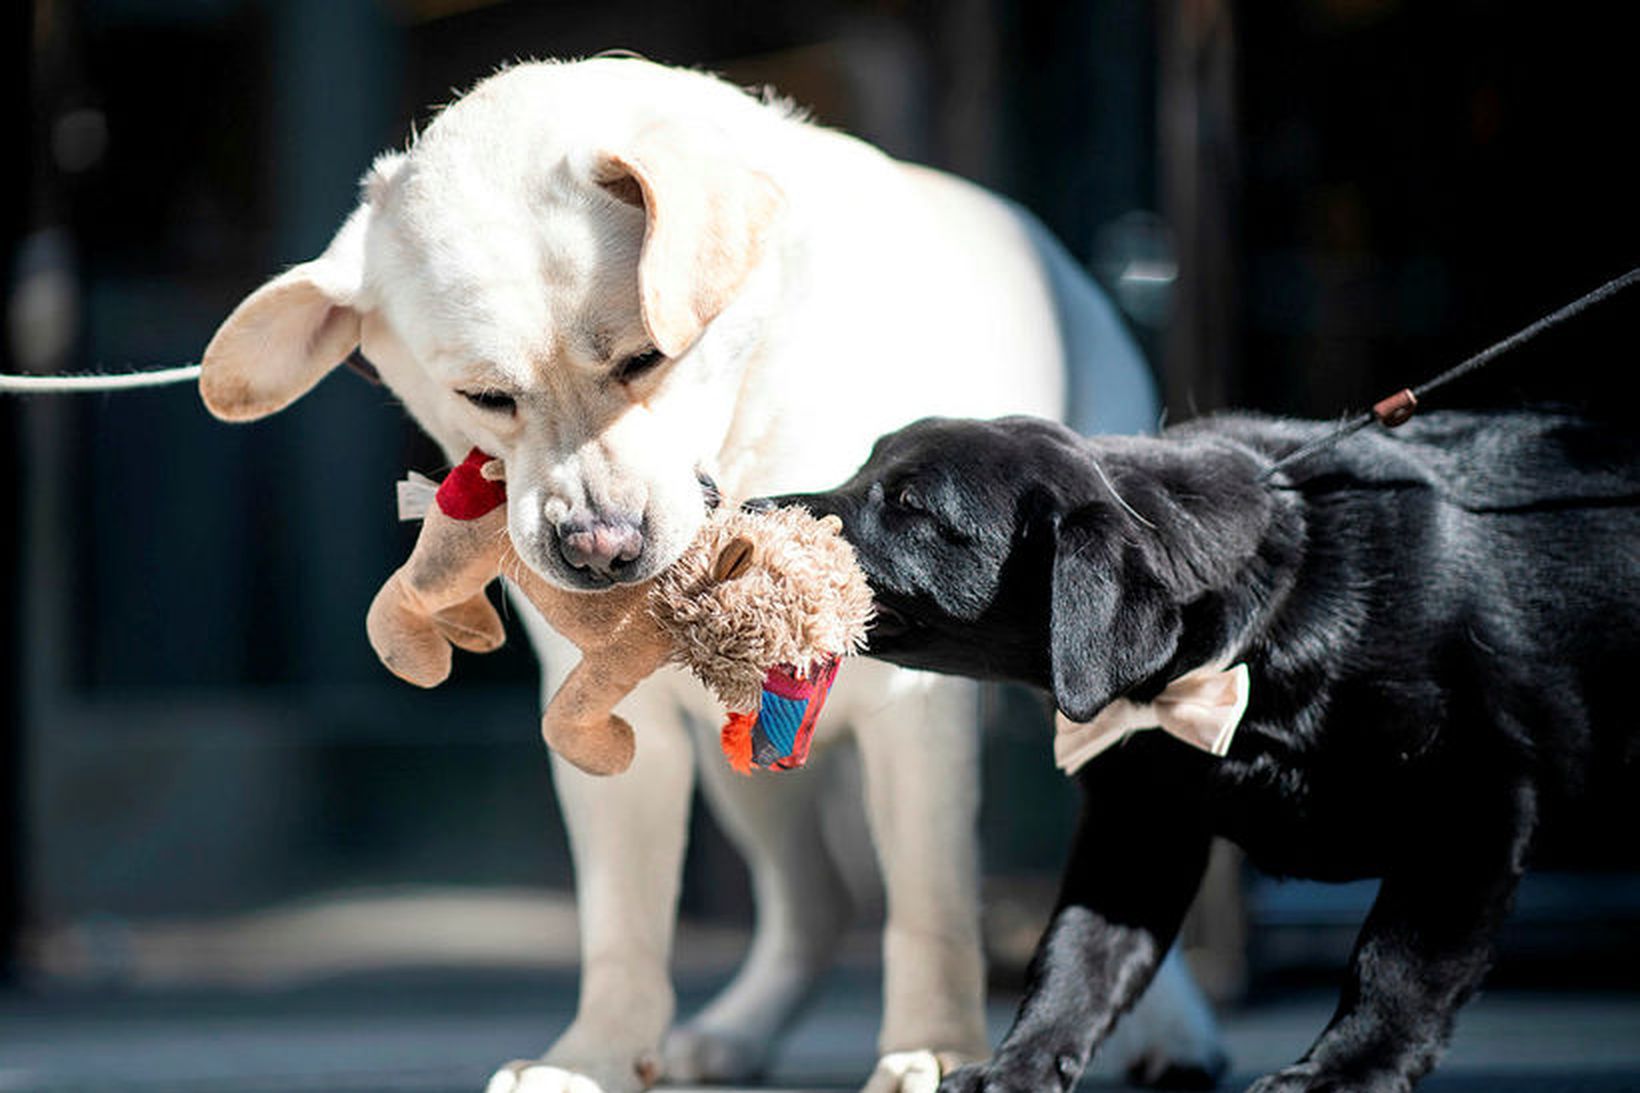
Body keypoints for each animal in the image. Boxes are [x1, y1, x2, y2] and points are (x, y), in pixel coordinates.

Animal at [195, 57, 1220, 1089]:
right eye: (486, 396)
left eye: (647, 358)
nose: (598, 549)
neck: (750, 430)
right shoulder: (617, 722)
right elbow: (622, 922)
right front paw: (597, 1055)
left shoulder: (913, 709)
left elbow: (930, 905)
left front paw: (934, 1045)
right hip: (751, 774)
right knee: (815, 905)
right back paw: (735, 1031)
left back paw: (1176, 1033)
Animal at [780, 410, 1640, 1089]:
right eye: (865, 466)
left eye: (909, 505)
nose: (753, 503)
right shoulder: (1140, 823)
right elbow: (1076, 957)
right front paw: (1018, 1064)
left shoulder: (1477, 797)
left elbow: (1396, 961)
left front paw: (1341, 1071)